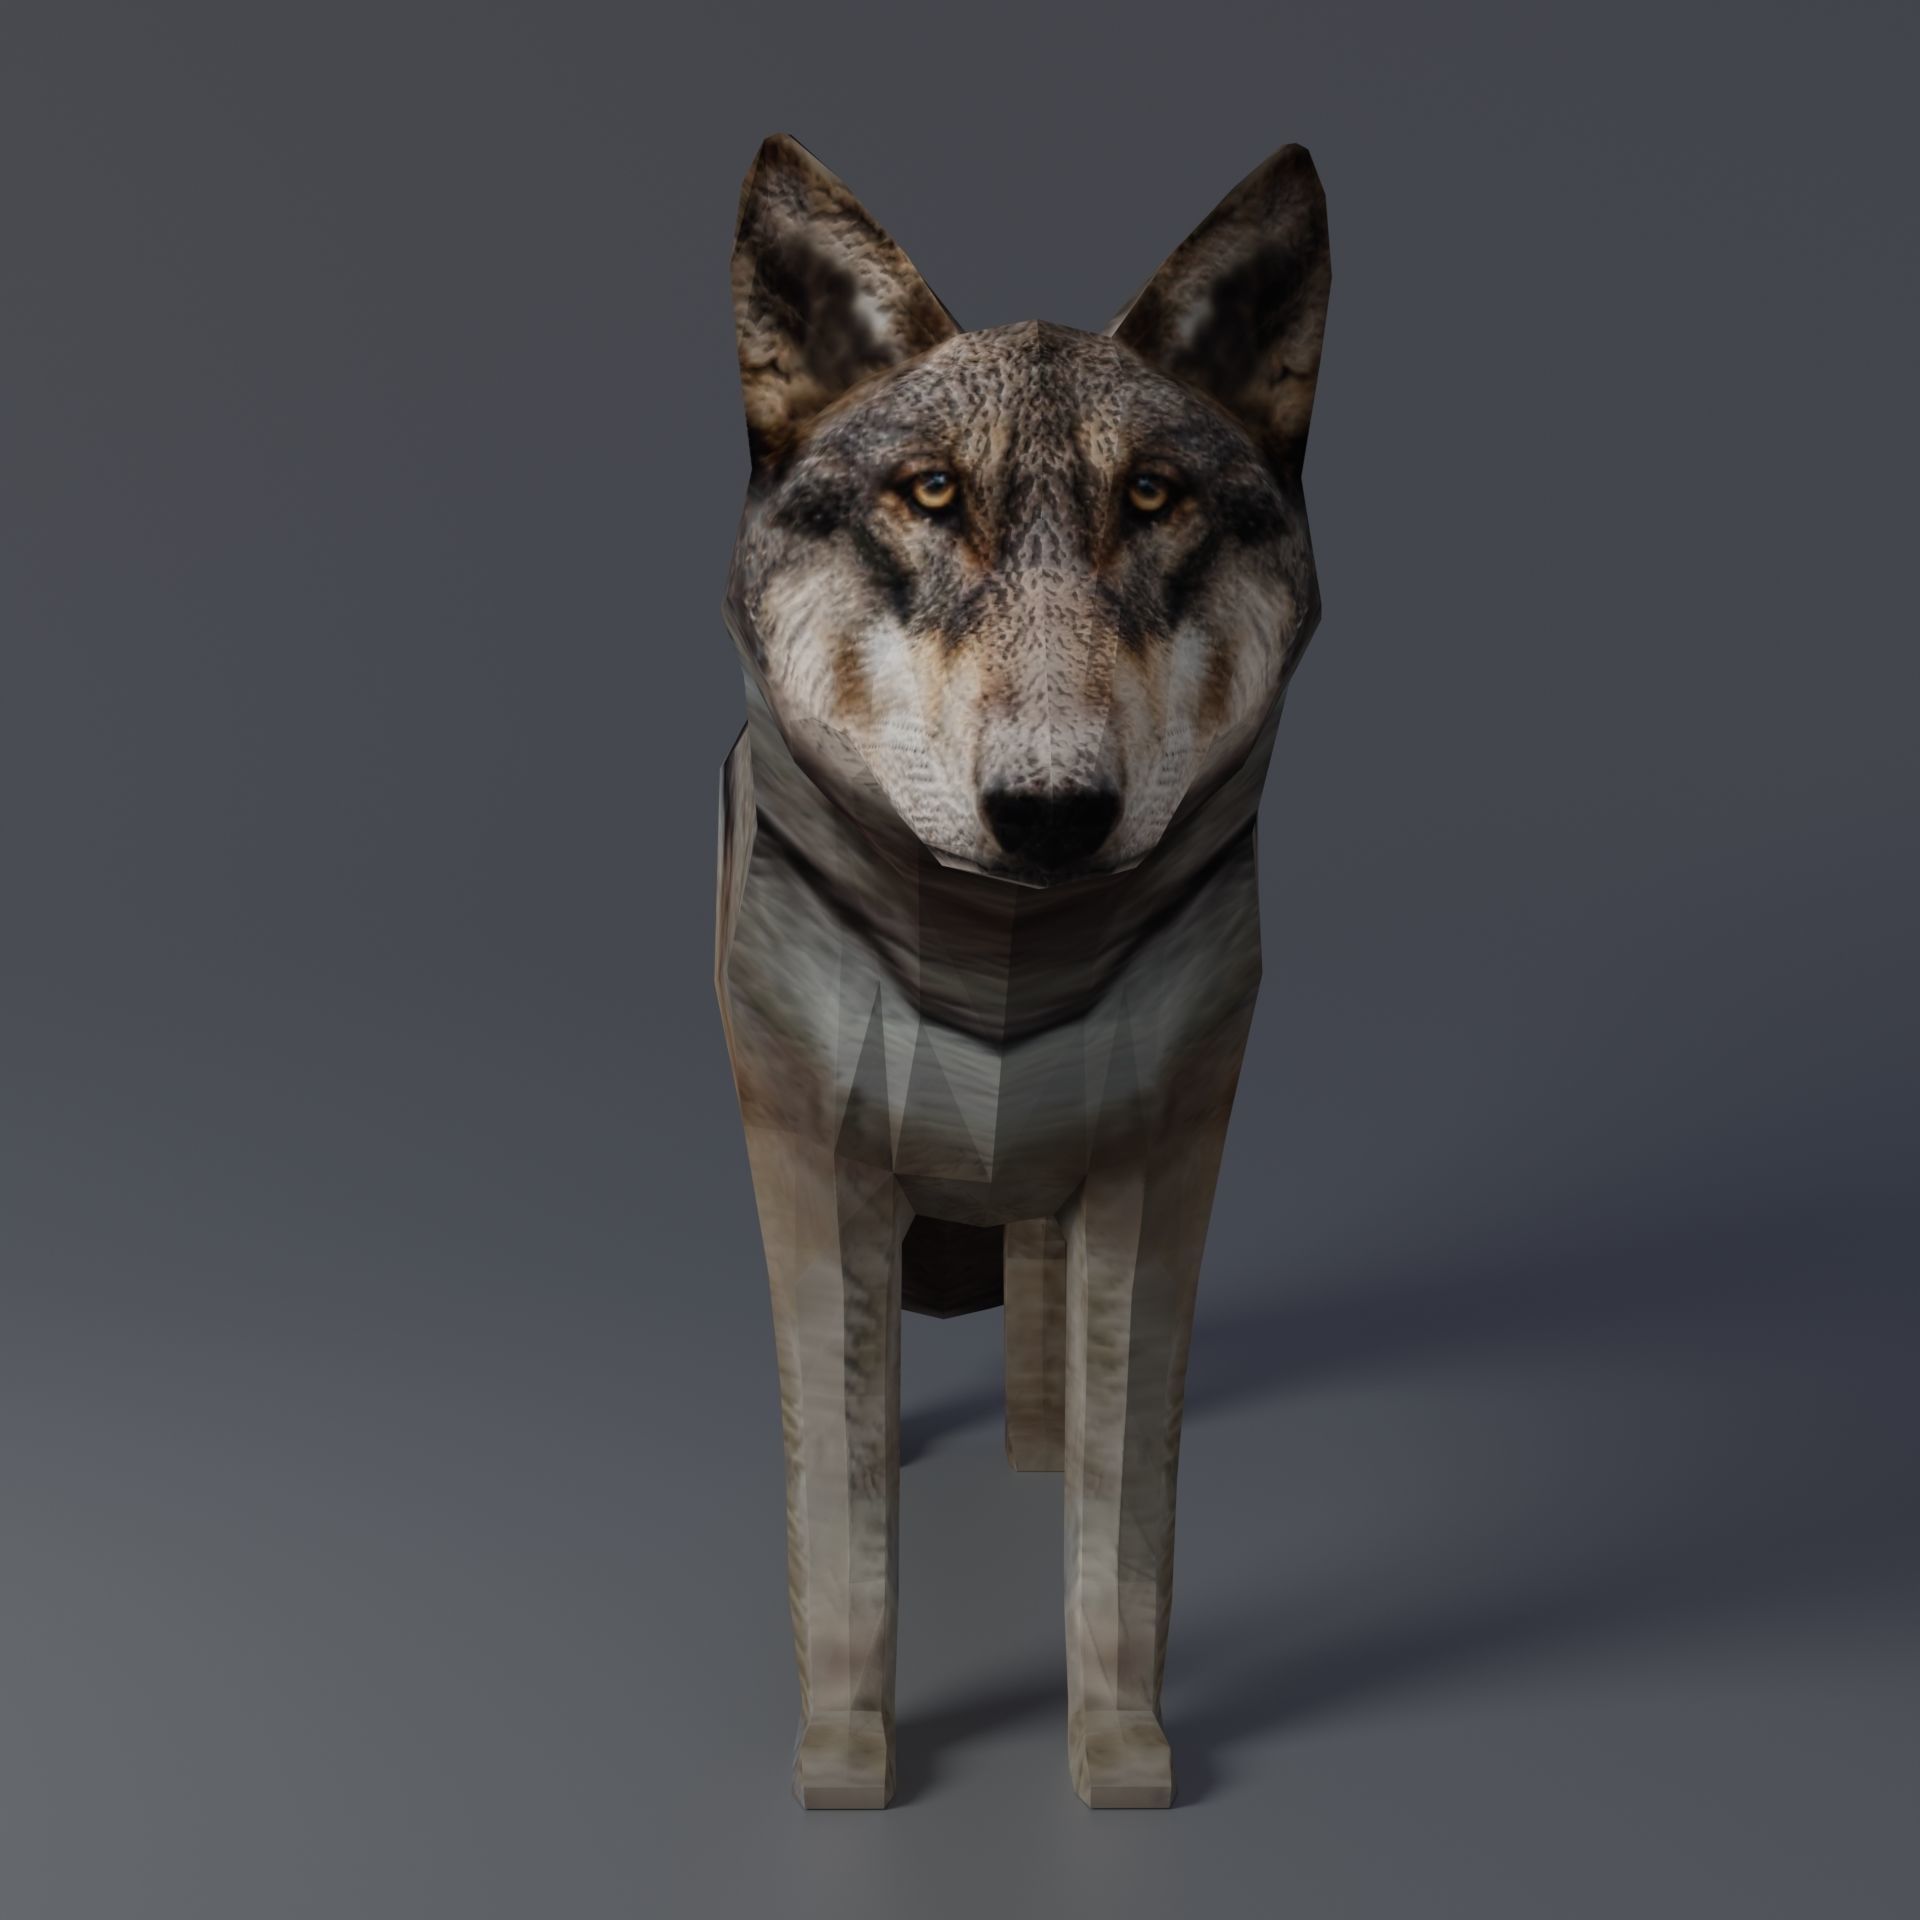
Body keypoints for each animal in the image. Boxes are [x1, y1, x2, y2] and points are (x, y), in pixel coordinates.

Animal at [715, 133, 1331, 1809]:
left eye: (1154, 498)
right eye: (933, 496)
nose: (1054, 812)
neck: (1002, 973)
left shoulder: (1157, 1178)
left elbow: (1122, 1542)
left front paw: (1123, 1766)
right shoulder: (814, 1184)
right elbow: (841, 1536)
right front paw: (846, 1771)